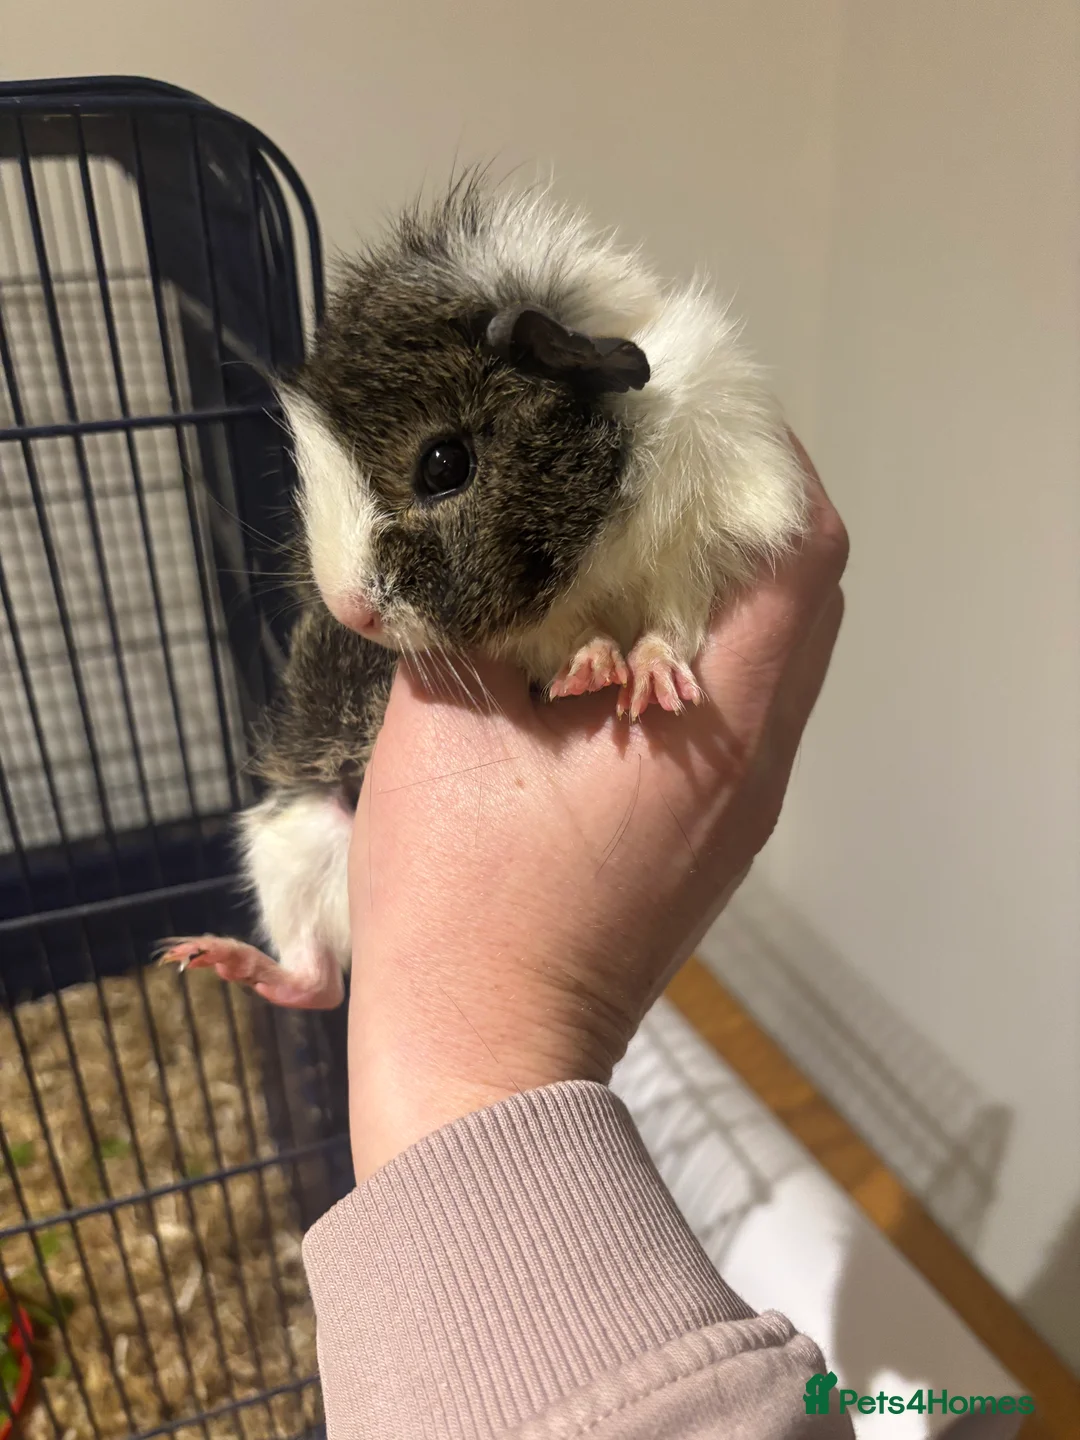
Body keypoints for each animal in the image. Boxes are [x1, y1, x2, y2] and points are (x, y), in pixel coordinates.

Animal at [156, 177, 807, 1009]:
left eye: (444, 463)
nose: (347, 609)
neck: (599, 550)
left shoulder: (703, 541)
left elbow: (672, 623)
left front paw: (652, 687)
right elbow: (567, 638)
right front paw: (593, 669)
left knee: (320, 983)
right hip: (286, 835)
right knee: (312, 976)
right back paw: (201, 956)